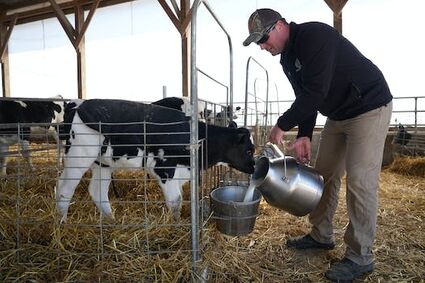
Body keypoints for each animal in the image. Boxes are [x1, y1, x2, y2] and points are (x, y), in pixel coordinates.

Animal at [56, 100, 255, 224]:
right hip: (80, 154)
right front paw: (175, 225)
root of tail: (77, 106)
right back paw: (62, 225)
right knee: (64, 188)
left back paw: (111, 220)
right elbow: (175, 201)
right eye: (248, 150)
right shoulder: (164, 168)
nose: (253, 167)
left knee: (95, 191)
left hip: (103, 162)